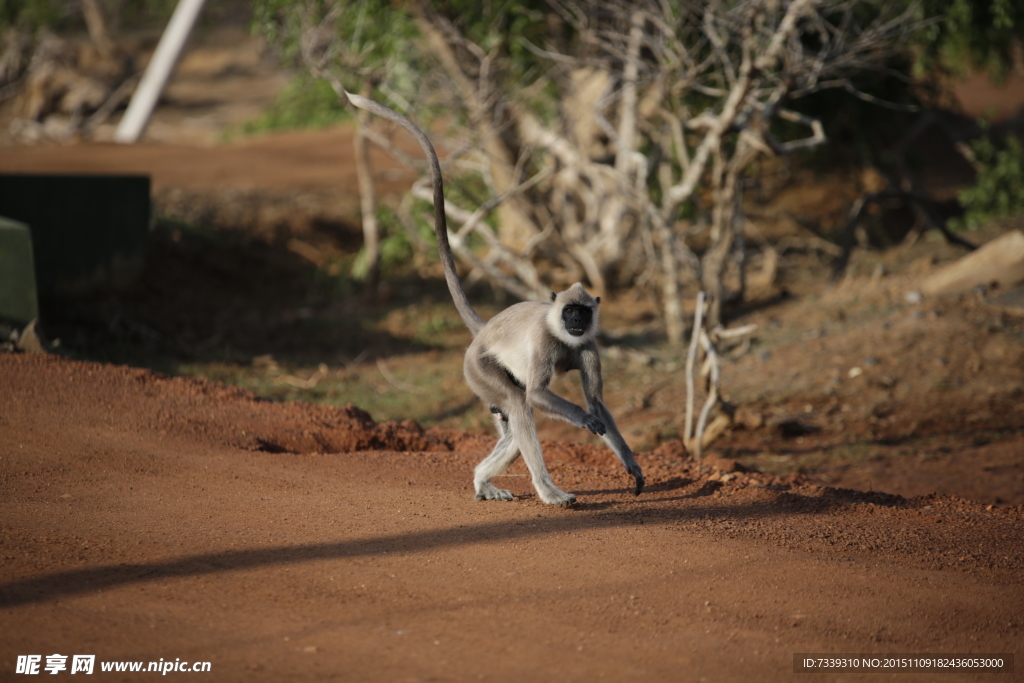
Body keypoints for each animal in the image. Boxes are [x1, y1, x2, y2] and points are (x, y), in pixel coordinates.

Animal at [348, 92, 643, 507]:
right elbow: (539, 395)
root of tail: (484, 330)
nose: (575, 322)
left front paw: (632, 465)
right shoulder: (544, 340)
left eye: (583, 313)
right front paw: (586, 422)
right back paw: (548, 492)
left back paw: (482, 482)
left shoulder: (588, 346)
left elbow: (597, 401)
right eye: (569, 311)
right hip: (478, 369)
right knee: (521, 405)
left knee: (513, 424)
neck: (562, 335)